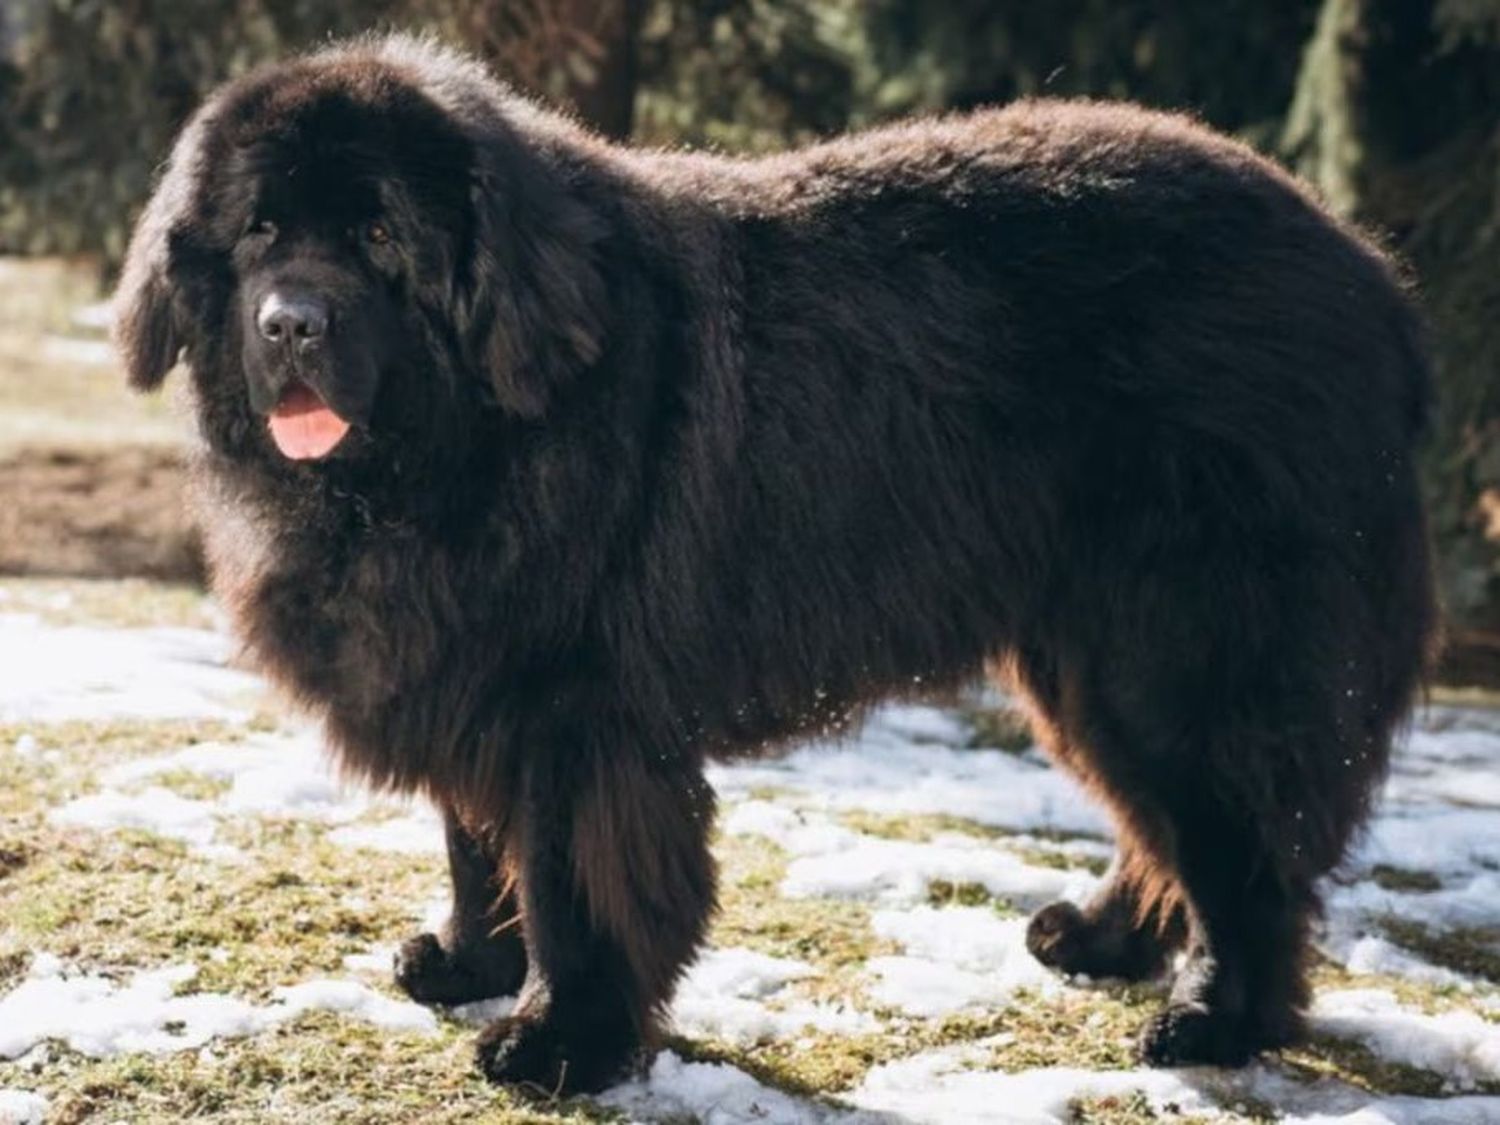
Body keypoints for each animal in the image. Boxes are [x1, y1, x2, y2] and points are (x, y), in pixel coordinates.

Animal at [114, 33, 1428, 1092]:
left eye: (382, 235)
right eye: (261, 231)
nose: (290, 323)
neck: (455, 441)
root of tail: (1366, 270)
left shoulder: (574, 708)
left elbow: (567, 875)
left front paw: (561, 1039)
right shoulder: (462, 670)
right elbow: (473, 839)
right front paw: (467, 962)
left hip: (1181, 643)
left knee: (1244, 846)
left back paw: (1217, 1020)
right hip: (1084, 651)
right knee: (1166, 823)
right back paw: (1103, 942)